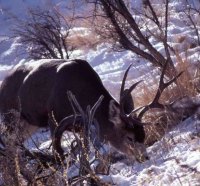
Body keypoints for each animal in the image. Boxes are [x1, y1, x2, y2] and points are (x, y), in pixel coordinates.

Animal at [0, 58, 182, 162]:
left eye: (143, 134)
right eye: (129, 137)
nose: (144, 157)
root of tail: (3, 84)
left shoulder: (83, 126)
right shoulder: (53, 118)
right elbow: (59, 153)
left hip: (28, 125)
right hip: (10, 117)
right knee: (9, 143)